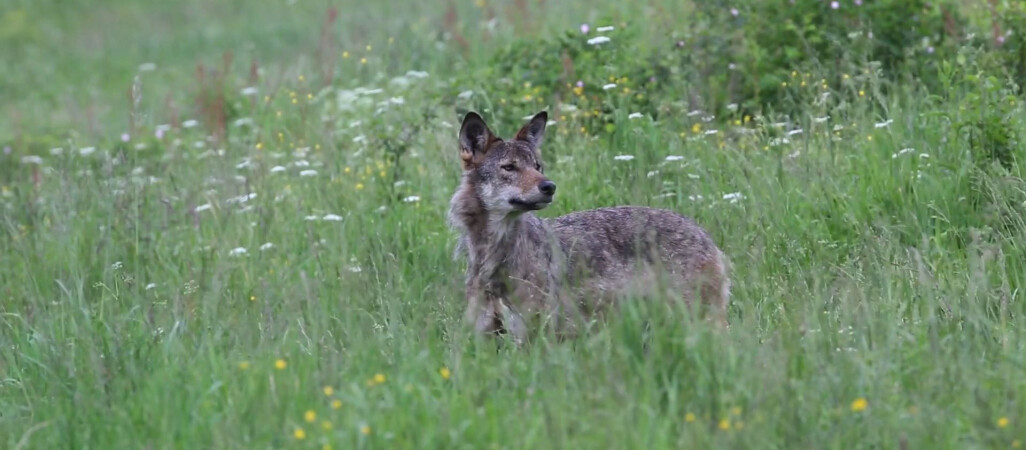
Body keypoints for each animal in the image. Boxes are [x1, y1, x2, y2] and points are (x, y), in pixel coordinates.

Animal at [449, 111, 730, 344]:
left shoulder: (535, 340)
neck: (494, 260)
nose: (549, 186)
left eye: (537, 167)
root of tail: (705, 234)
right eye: (509, 167)